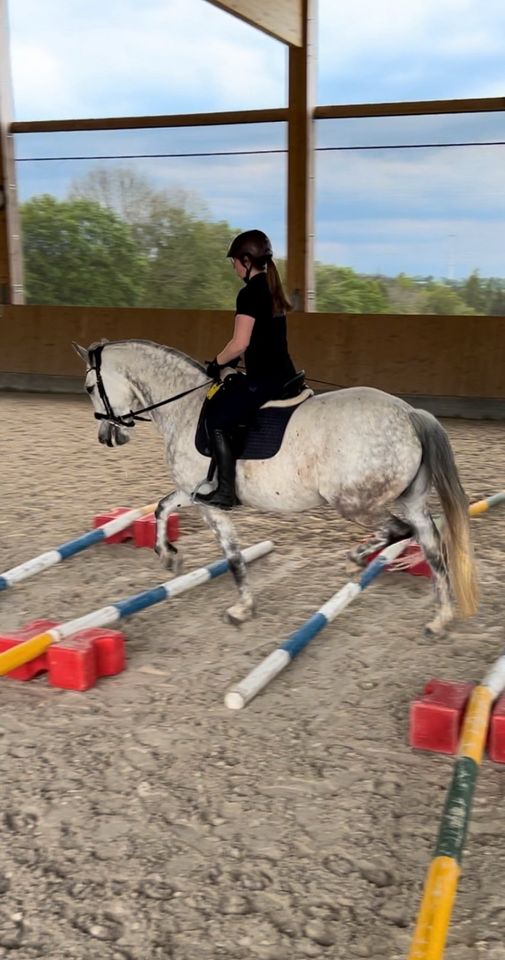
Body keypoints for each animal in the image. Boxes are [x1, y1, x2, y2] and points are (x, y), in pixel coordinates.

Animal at [74, 340, 476, 636]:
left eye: (91, 387)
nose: (108, 436)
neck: (186, 407)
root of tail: (408, 413)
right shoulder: (191, 492)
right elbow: (161, 507)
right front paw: (169, 556)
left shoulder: (208, 501)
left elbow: (232, 556)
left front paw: (241, 608)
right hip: (407, 499)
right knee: (430, 542)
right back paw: (440, 617)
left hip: (355, 502)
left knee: (399, 530)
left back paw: (358, 556)